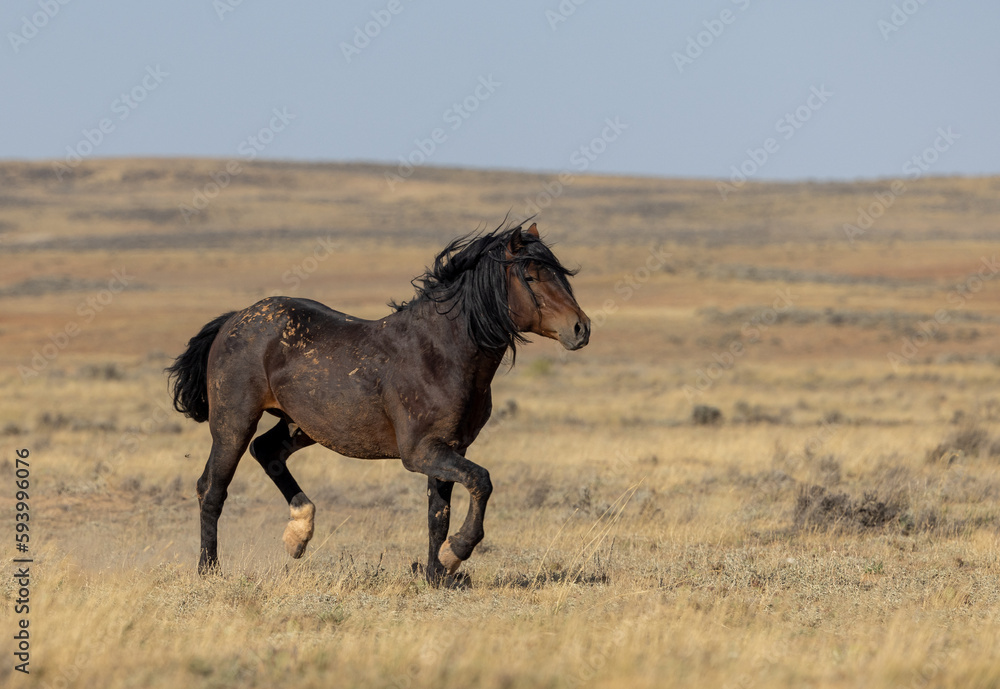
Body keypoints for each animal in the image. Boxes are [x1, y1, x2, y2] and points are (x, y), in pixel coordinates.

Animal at [167, 223, 588, 584]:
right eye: (531, 276)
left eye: (560, 273)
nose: (581, 328)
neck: (441, 352)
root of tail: (232, 321)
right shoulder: (420, 453)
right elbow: (481, 482)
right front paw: (456, 553)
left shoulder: (451, 448)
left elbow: (439, 514)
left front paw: (437, 574)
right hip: (234, 422)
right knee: (212, 488)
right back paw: (209, 570)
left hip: (301, 424)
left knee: (266, 451)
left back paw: (299, 533)